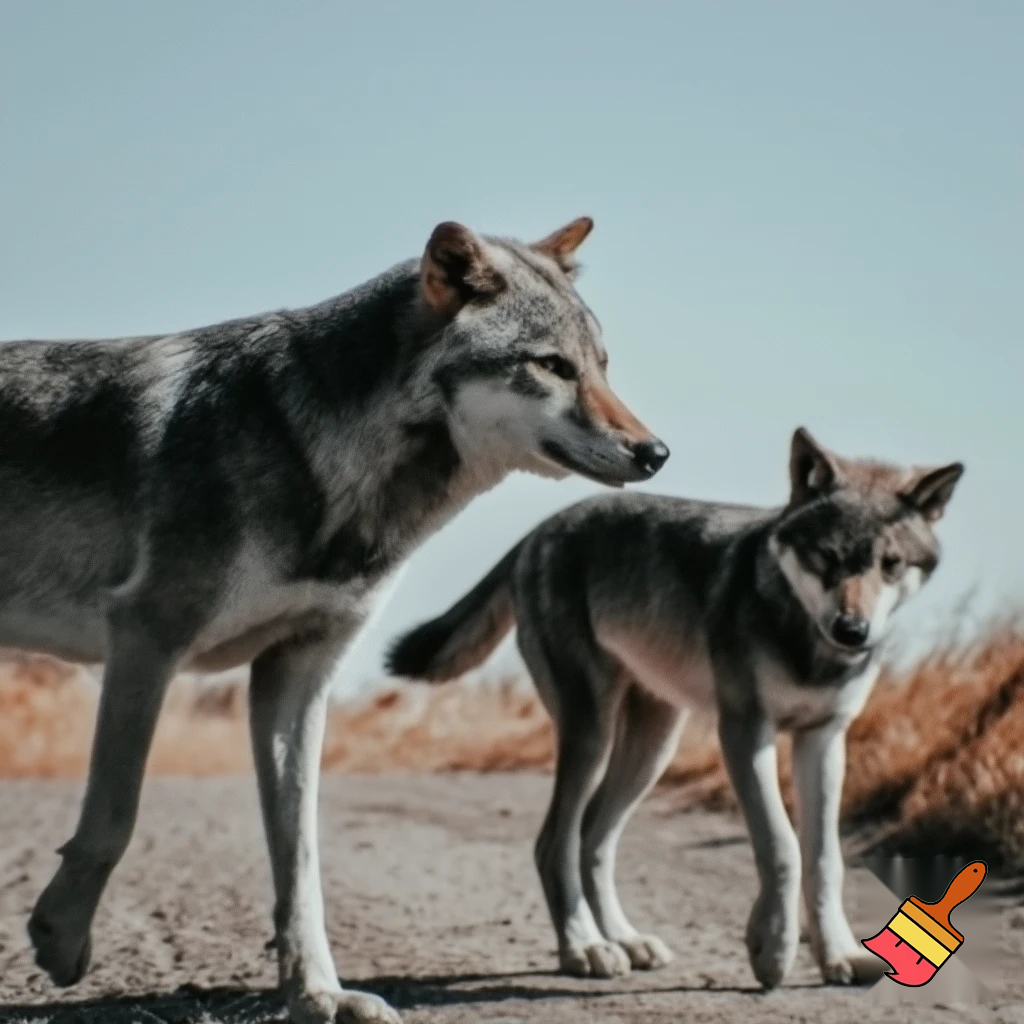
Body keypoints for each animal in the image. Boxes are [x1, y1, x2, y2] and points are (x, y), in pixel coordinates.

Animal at [2, 216, 669, 1024]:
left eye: (601, 366)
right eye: (551, 366)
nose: (655, 452)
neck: (329, 472)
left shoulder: (294, 678)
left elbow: (301, 859)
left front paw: (317, 990)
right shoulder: (145, 639)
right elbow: (113, 815)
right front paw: (59, 940)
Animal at [388, 427, 963, 990]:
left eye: (890, 565)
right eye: (826, 557)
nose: (852, 630)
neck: (806, 644)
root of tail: (542, 529)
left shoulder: (824, 740)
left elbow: (825, 859)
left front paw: (836, 955)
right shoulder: (744, 733)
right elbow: (780, 847)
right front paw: (772, 951)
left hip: (652, 748)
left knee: (592, 839)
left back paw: (624, 940)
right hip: (592, 735)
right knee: (554, 843)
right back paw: (585, 948)